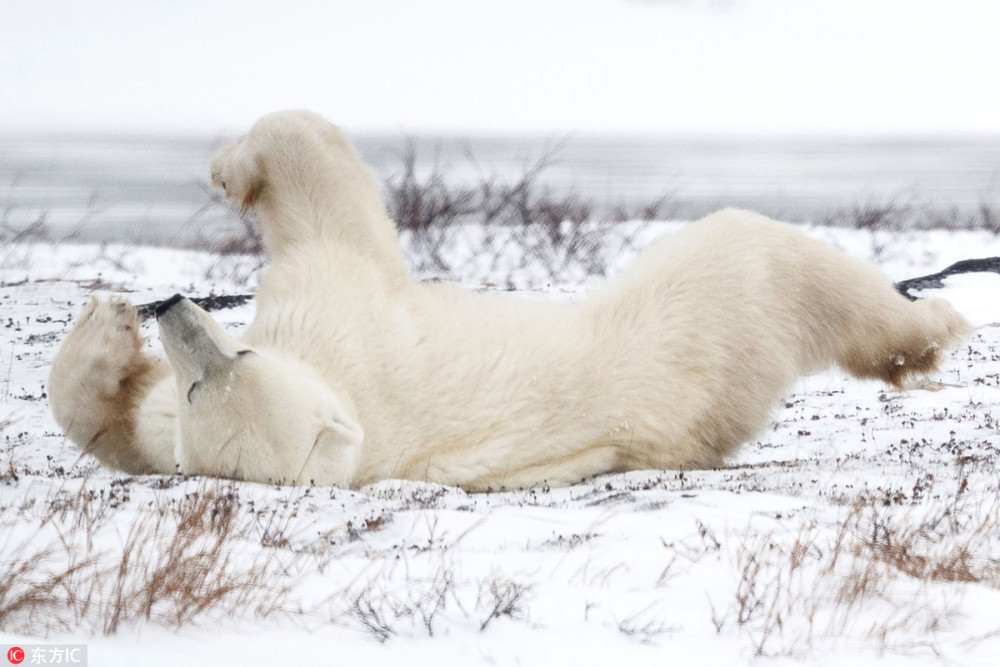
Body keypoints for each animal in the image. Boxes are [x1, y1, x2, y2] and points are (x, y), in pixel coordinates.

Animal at [45, 111, 968, 490]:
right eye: (205, 380)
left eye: (238, 352)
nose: (171, 307)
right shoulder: (327, 333)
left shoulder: (336, 322)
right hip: (701, 330)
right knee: (766, 256)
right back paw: (924, 332)